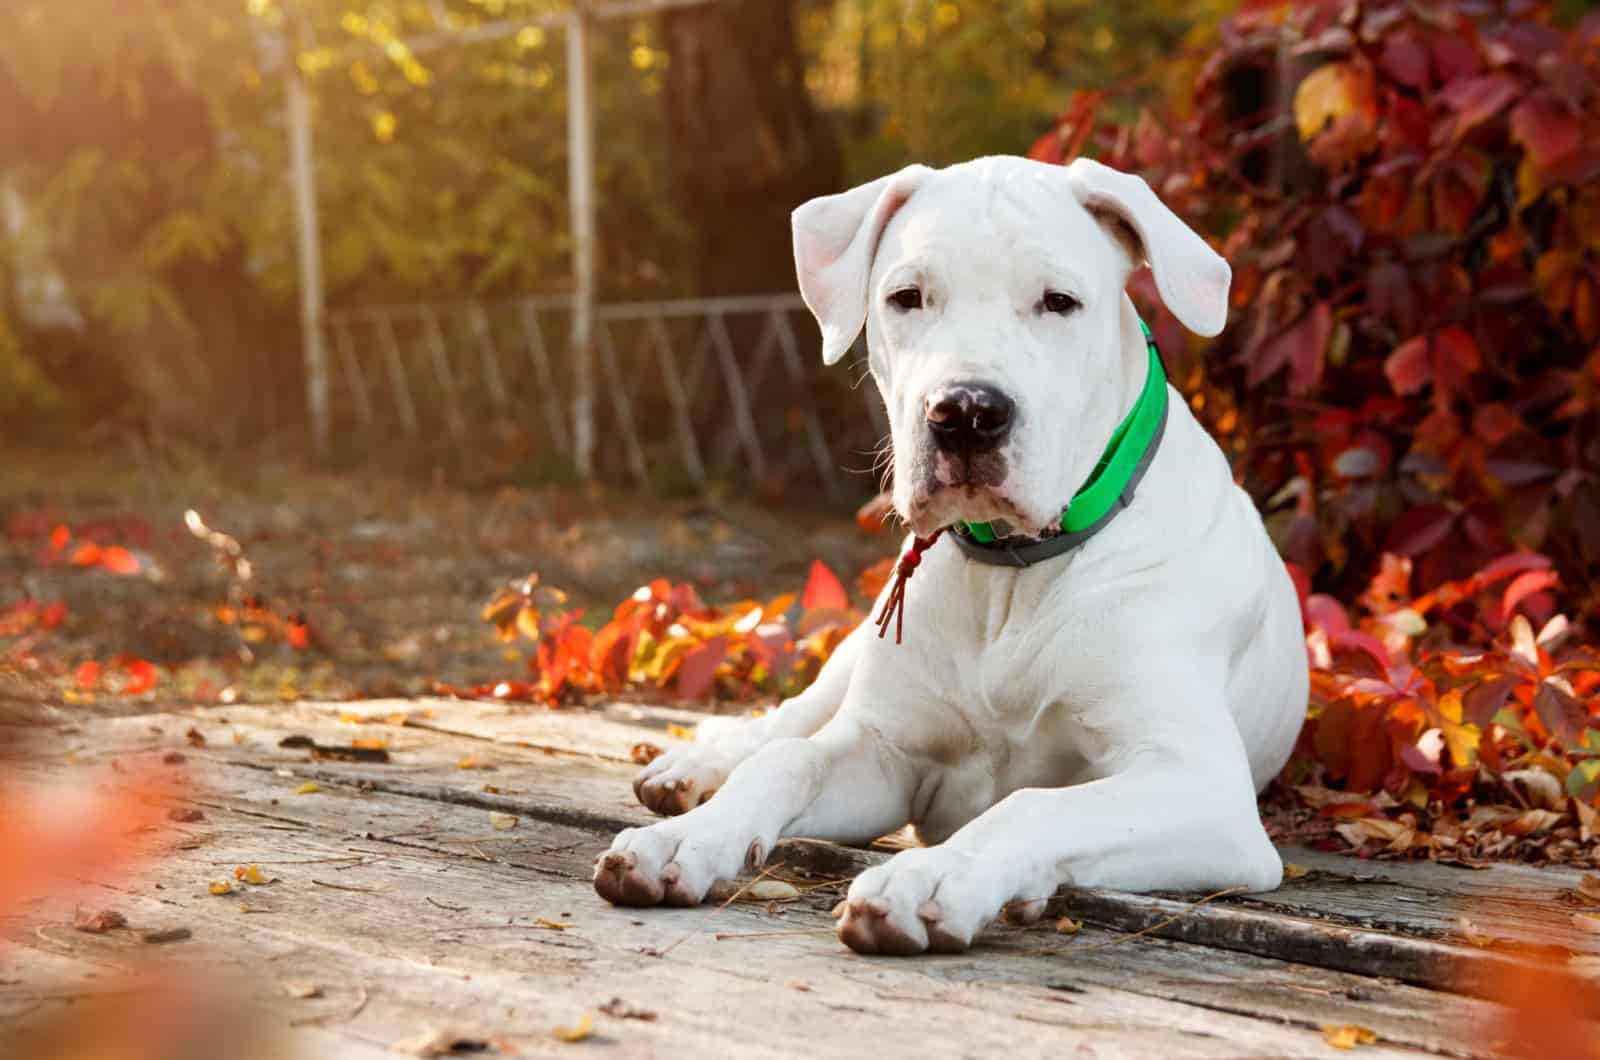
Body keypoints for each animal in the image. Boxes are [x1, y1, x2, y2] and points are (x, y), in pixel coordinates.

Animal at [595, 153, 1305, 960]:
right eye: (907, 297)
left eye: (1059, 302)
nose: (966, 411)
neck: (1013, 574)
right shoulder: (886, 752)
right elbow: (790, 760)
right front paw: (688, 840)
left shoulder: (1202, 788)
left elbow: (1034, 804)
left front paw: (931, 878)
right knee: (790, 722)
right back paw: (697, 769)